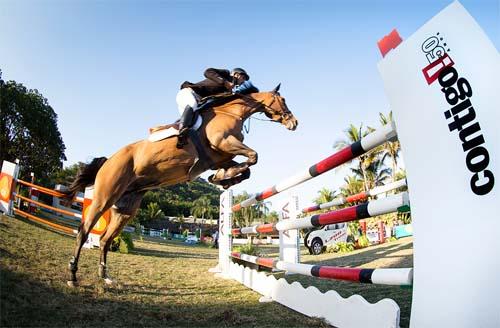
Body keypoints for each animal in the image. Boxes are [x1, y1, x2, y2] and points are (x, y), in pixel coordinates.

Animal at [62, 84, 296, 288]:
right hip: (104, 197)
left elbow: (247, 167)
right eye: (283, 99)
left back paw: (105, 276)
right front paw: (223, 178)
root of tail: (108, 160)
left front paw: (223, 178)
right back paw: (72, 275)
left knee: (104, 240)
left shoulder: (219, 157)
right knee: (84, 232)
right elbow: (253, 156)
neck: (232, 112)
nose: (294, 123)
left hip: (124, 210)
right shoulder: (223, 142)